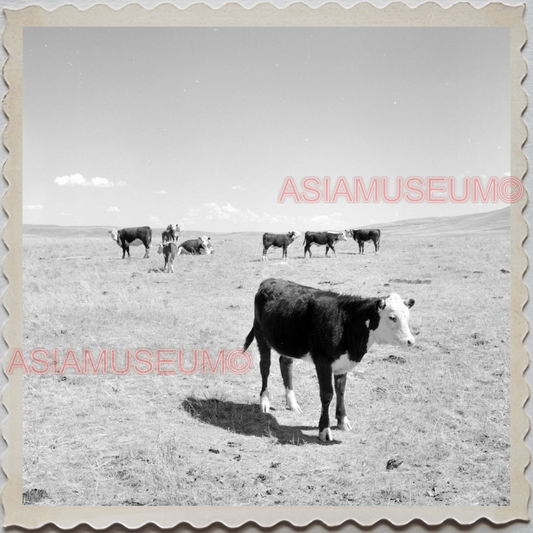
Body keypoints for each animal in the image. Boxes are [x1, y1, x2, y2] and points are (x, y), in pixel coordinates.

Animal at [242, 278, 416, 440]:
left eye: (407, 316)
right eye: (392, 317)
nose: (410, 341)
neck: (345, 322)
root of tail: (270, 280)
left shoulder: (343, 362)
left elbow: (341, 391)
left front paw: (343, 421)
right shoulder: (323, 361)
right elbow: (327, 394)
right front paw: (324, 429)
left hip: (287, 341)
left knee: (285, 364)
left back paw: (292, 404)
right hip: (261, 334)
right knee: (265, 366)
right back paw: (264, 401)